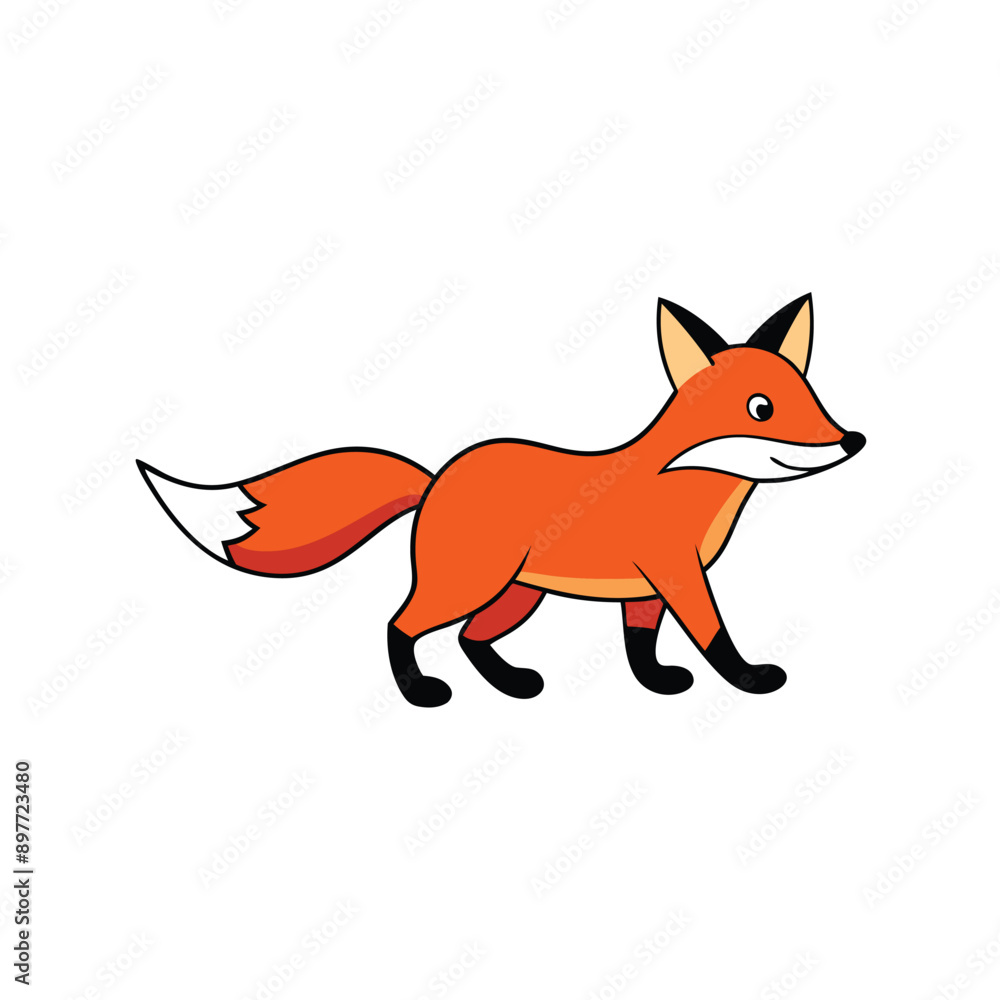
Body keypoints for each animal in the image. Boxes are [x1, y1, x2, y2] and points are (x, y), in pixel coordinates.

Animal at [138, 293, 865, 707]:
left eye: (811, 396)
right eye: (761, 408)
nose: (851, 440)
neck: (686, 482)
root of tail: (436, 477)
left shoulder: (646, 587)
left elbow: (639, 644)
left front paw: (657, 683)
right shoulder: (678, 574)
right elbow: (714, 637)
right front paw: (749, 679)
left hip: (517, 594)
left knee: (468, 638)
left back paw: (513, 684)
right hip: (470, 582)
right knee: (401, 625)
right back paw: (422, 693)